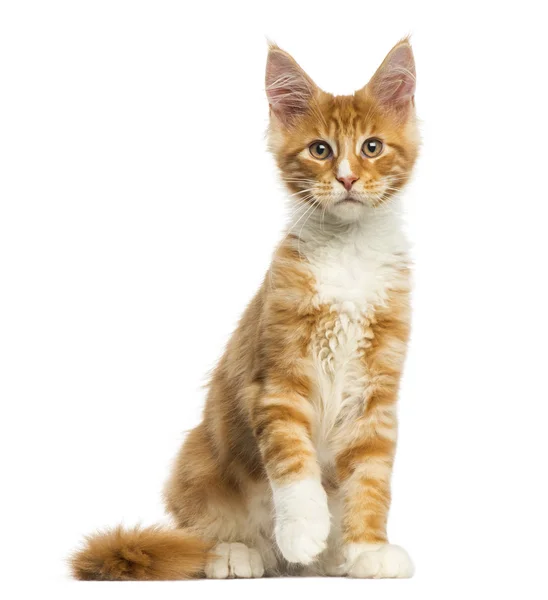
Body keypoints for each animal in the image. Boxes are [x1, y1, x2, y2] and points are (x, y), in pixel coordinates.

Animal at [71, 38, 420, 580]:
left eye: (372, 147)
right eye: (321, 150)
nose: (346, 179)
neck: (349, 252)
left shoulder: (375, 395)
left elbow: (370, 480)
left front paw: (367, 550)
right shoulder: (277, 380)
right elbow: (293, 463)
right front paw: (304, 529)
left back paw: (329, 558)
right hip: (197, 459)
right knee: (198, 533)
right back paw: (239, 554)